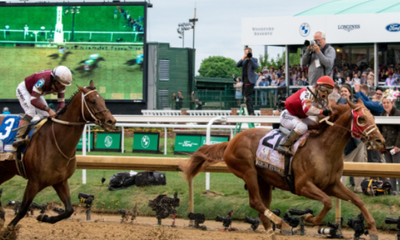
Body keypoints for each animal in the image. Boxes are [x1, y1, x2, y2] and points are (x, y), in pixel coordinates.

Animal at [0, 80, 115, 229]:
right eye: (93, 101)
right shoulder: (34, 182)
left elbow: (69, 210)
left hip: (6, 171)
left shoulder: (60, 181)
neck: (54, 141)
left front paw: (44, 217)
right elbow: (23, 209)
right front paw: (9, 229)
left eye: (103, 100)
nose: (111, 121)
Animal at [180, 98, 384, 239]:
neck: (324, 148)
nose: (380, 141)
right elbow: (327, 202)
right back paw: (283, 225)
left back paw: (272, 231)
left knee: (261, 205)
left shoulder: (332, 185)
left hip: (263, 180)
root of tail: (231, 142)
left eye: (373, 116)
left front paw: (373, 228)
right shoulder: (302, 186)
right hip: (247, 171)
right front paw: (308, 218)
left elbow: (357, 200)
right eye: (362, 118)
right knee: (256, 202)